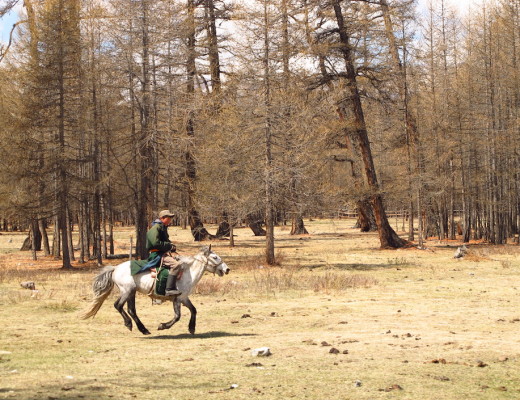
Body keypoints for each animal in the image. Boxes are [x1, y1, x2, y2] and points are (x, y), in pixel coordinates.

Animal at [79, 245, 230, 336]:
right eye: (215, 257)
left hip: (131, 292)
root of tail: (115, 268)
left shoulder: (184, 298)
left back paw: (143, 329)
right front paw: (163, 326)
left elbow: (193, 310)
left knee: (131, 310)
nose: (227, 269)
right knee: (118, 305)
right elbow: (177, 316)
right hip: (127, 291)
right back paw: (129, 324)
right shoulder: (177, 299)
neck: (188, 273)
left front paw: (191, 328)